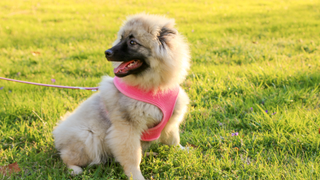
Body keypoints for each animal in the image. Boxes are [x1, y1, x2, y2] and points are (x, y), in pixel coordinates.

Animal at [52, 13, 190, 179]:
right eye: (120, 38)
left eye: (132, 42)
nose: (107, 52)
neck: (154, 88)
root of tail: (58, 134)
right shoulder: (127, 129)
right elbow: (132, 156)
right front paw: (135, 175)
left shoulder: (170, 122)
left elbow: (173, 139)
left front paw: (182, 150)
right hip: (88, 137)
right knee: (66, 156)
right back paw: (75, 169)